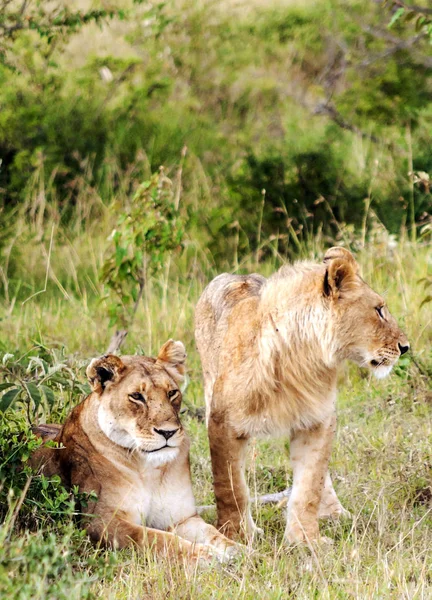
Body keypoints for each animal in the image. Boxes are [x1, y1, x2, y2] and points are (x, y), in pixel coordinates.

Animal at [195, 247, 408, 544]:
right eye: (378, 310)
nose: (405, 347)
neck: (302, 359)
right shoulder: (222, 422)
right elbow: (230, 487)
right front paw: (237, 536)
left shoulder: (318, 421)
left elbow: (310, 485)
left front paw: (306, 540)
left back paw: (336, 514)